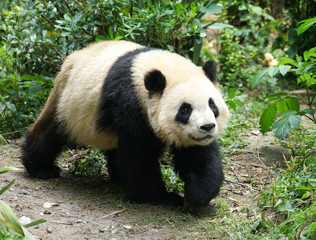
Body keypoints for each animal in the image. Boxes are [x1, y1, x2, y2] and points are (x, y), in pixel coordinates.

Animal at [22, 40, 230, 206]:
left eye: (212, 104)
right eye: (185, 109)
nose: (207, 127)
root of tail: (71, 58)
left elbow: (197, 154)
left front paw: (196, 195)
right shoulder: (130, 101)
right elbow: (138, 153)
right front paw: (160, 197)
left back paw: (116, 177)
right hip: (67, 101)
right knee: (50, 132)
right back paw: (41, 168)